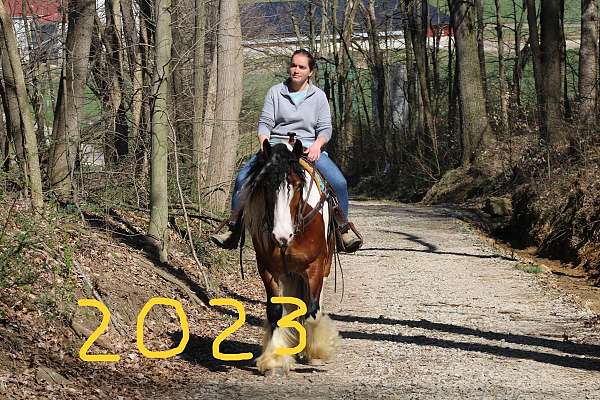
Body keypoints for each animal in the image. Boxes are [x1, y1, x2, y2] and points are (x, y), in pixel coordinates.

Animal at [241, 138, 340, 376]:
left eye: (297, 185)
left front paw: (316, 353)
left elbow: (312, 310)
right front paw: (274, 359)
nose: (281, 236)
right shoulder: (269, 269)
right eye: (267, 186)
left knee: (315, 304)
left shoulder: (314, 268)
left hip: (321, 268)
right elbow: (276, 311)